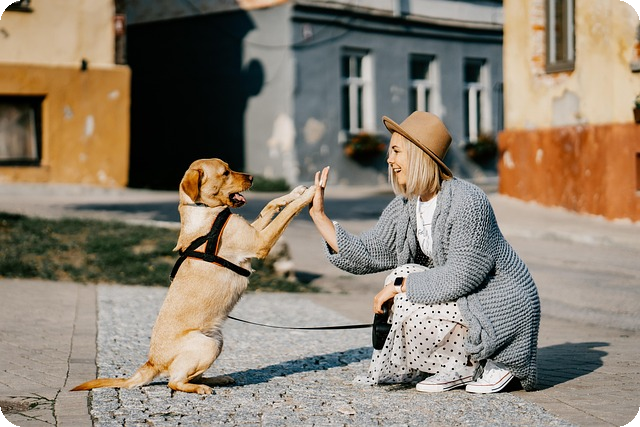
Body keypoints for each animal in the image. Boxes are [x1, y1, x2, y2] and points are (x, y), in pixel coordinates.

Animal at [71, 158, 316, 394]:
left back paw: (217, 379)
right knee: (174, 382)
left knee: (189, 376)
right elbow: (287, 213)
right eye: (225, 172)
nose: (253, 178)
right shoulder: (259, 242)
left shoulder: (254, 231)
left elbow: (271, 204)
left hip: (217, 341)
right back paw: (200, 388)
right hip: (207, 345)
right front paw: (311, 194)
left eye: (229, 168)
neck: (205, 210)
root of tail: (152, 362)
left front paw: (296, 192)